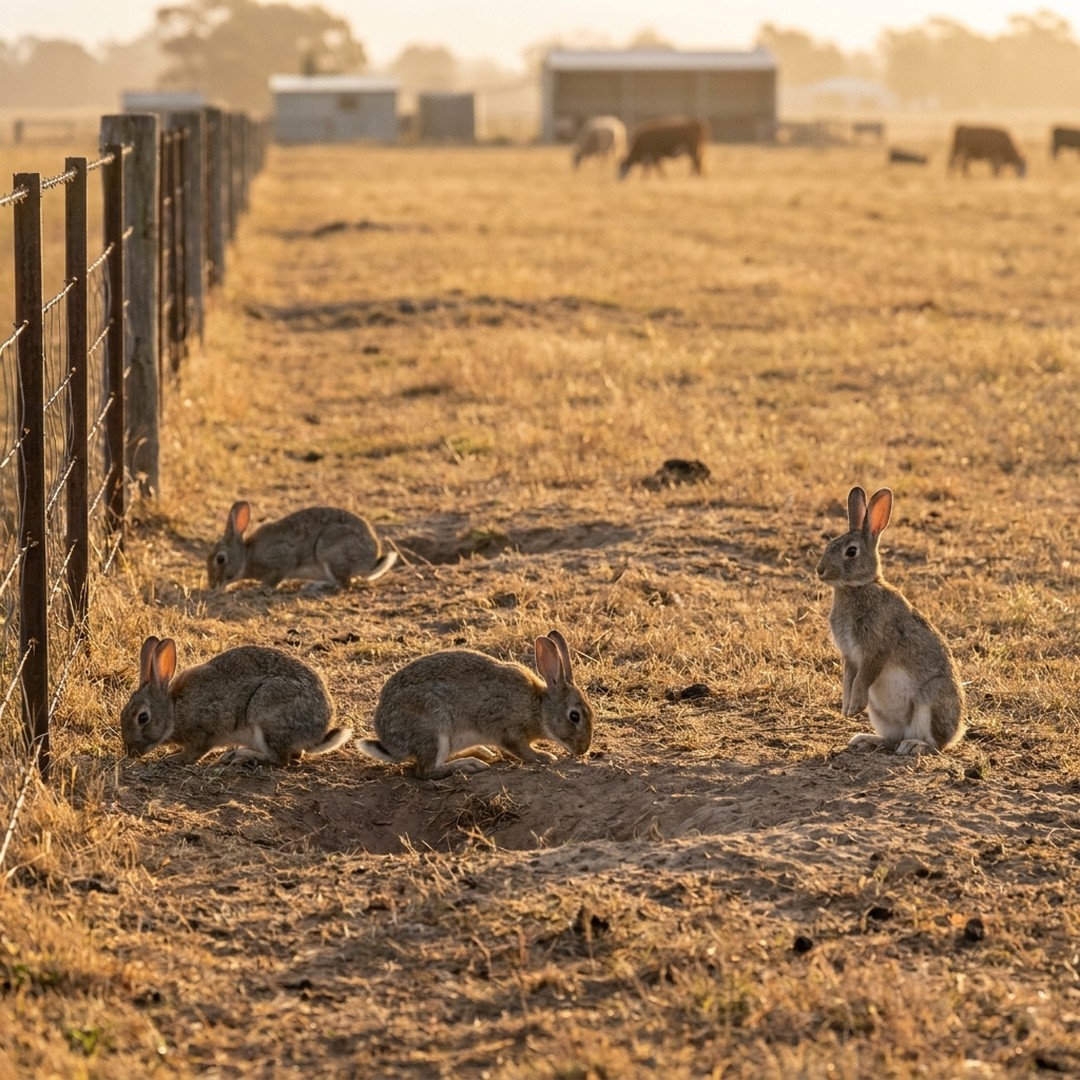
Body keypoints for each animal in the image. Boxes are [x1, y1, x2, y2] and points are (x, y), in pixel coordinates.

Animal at [120, 636, 352, 766]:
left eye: (143, 718)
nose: (130, 752)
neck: (174, 709)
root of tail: (316, 734)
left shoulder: (205, 731)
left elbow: (195, 752)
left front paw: (173, 759)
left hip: (265, 710)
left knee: (281, 760)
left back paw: (239, 756)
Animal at [207, 501, 397, 590]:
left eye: (220, 559)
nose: (212, 585)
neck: (247, 555)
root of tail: (371, 559)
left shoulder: (282, 560)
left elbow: (274, 579)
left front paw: (260, 588)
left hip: (330, 552)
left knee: (345, 583)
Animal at [358, 629, 594, 780]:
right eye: (575, 716)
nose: (582, 749)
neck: (539, 708)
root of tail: (389, 741)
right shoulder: (508, 729)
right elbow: (522, 750)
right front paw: (544, 756)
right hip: (434, 730)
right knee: (426, 771)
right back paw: (471, 764)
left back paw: (480, 753)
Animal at [816, 486, 965, 755]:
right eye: (830, 543)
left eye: (851, 551)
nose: (819, 570)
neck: (858, 587)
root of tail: (958, 732)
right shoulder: (850, 656)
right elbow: (848, 679)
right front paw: (846, 707)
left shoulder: (876, 650)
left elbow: (863, 677)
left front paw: (854, 706)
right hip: (880, 714)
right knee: (892, 738)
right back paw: (866, 739)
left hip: (931, 700)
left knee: (935, 745)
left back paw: (914, 745)